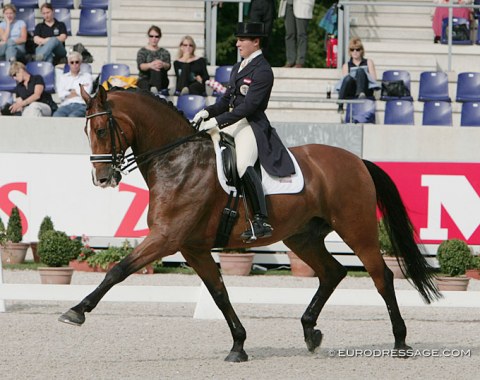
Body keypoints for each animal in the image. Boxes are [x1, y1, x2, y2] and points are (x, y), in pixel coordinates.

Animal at [58, 86, 440, 362]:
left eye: (102, 128)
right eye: (86, 130)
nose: (103, 178)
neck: (178, 160)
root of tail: (356, 160)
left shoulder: (166, 237)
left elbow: (117, 270)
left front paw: (76, 312)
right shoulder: (192, 247)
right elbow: (219, 294)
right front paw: (238, 346)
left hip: (356, 229)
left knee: (381, 276)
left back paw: (400, 342)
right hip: (302, 237)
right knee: (333, 273)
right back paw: (310, 333)